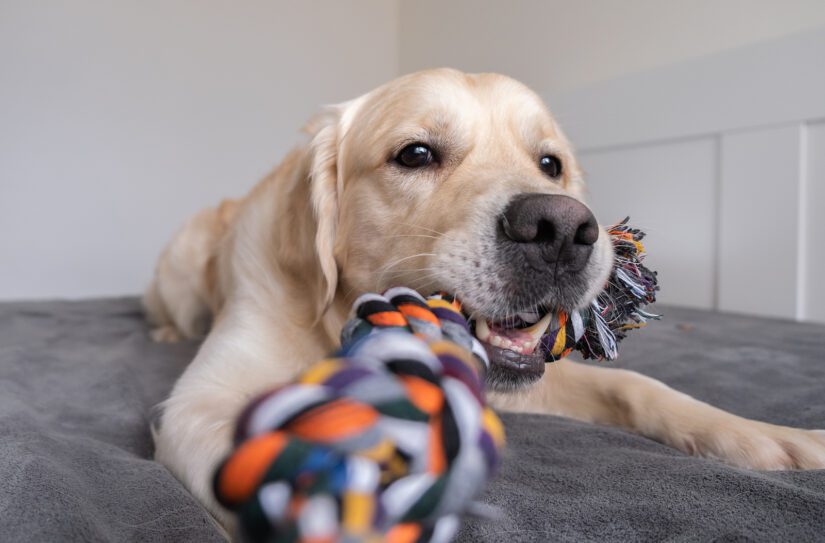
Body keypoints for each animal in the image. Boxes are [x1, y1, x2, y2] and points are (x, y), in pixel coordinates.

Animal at [148, 67, 824, 528]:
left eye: (551, 164)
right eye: (416, 153)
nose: (563, 230)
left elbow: (638, 388)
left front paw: (762, 435)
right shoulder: (198, 405)